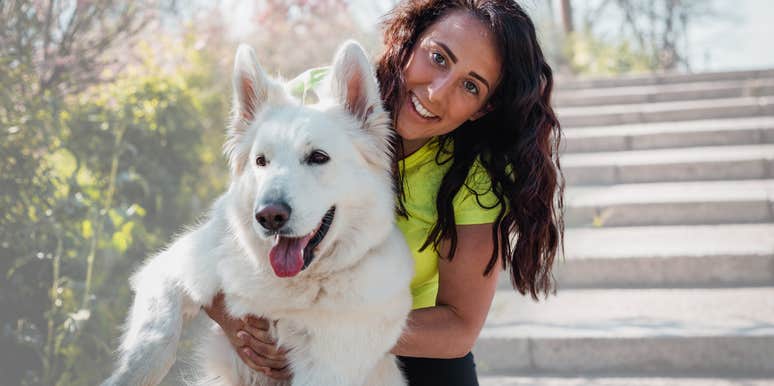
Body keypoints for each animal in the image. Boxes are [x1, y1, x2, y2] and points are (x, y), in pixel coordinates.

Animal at [105, 41, 418, 386]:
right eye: (261, 161)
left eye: (318, 157)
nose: (269, 216)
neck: (291, 283)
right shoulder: (169, 271)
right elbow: (152, 346)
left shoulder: (326, 369)